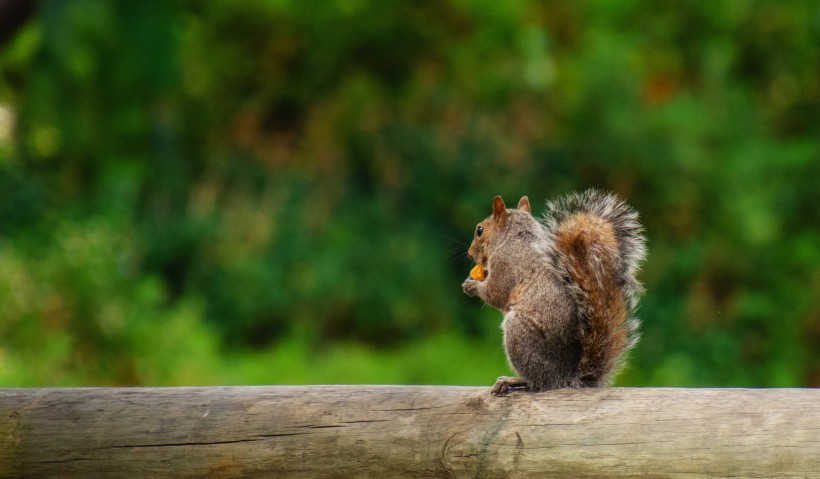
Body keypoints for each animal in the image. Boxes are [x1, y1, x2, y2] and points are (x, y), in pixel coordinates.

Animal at [462, 189, 648, 396]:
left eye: (480, 230)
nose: (470, 254)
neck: (514, 237)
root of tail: (565, 377)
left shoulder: (505, 264)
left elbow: (495, 293)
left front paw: (472, 286)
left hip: (519, 336)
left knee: (538, 382)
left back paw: (512, 381)